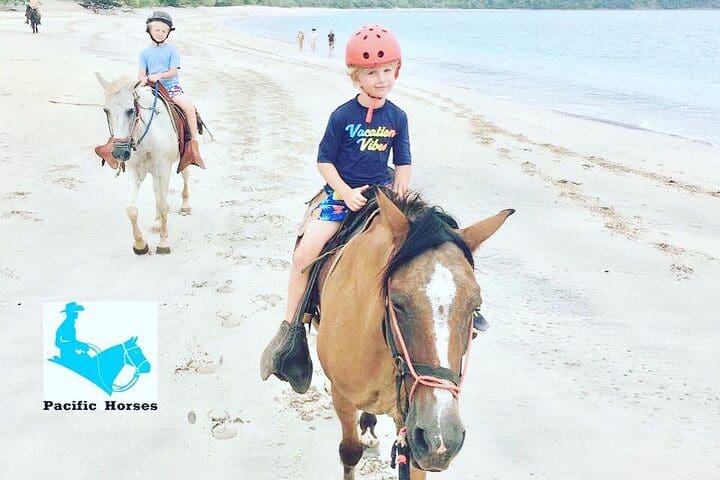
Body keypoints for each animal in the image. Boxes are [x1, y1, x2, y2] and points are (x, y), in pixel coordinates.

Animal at [95, 73, 191, 255]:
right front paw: (140, 244)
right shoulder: (136, 172)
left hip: (182, 160)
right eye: (106, 110)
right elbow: (131, 209)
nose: (119, 153)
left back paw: (185, 205)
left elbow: (164, 205)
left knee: (185, 176)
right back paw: (156, 223)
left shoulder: (163, 170)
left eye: (131, 110)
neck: (148, 137)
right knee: (157, 193)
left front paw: (163, 243)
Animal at [318, 189, 516, 478]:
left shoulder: (411, 425)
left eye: (475, 307)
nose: (441, 440)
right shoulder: (343, 398)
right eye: (397, 303)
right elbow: (350, 451)